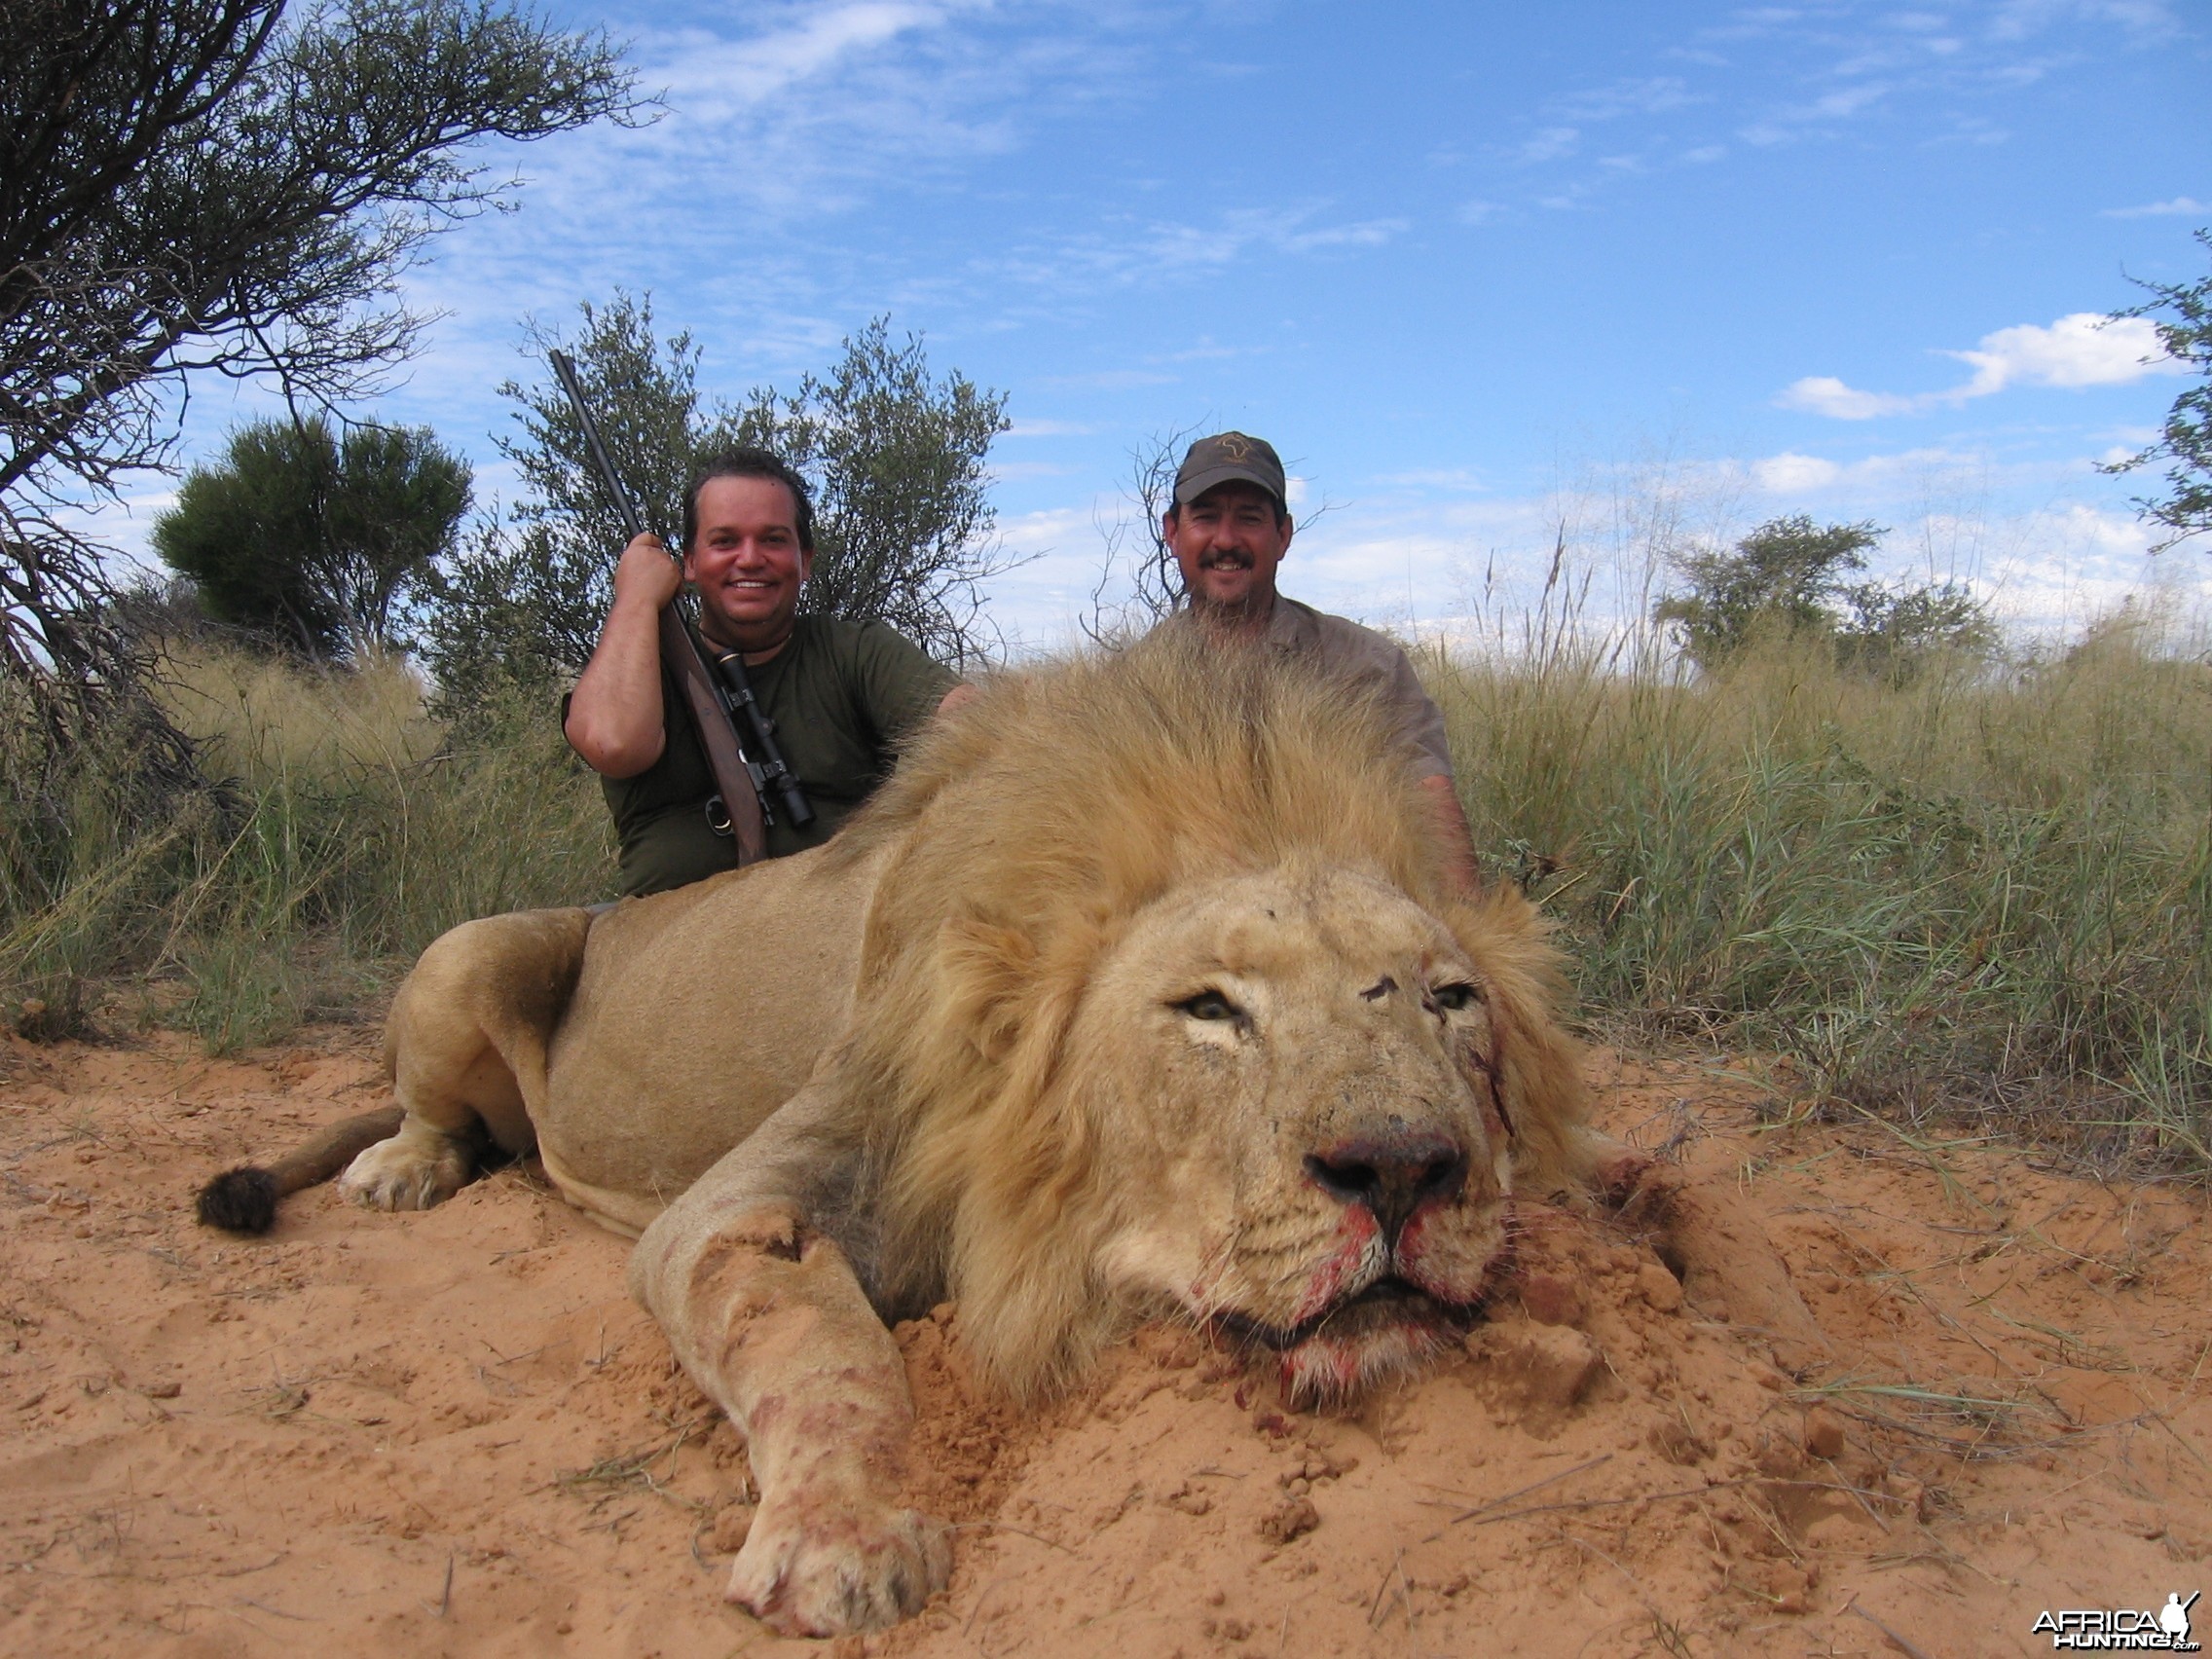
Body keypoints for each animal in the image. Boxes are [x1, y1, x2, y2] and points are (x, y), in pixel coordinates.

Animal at [199, 637, 1637, 1637]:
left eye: (1450, 999)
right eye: (1211, 1011)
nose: (1401, 1170)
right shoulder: (740, 1204)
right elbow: (815, 1339)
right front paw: (846, 1546)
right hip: (477, 948)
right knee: (432, 1105)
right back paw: (403, 1167)